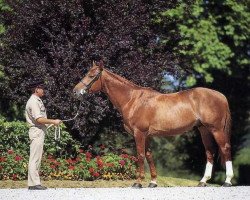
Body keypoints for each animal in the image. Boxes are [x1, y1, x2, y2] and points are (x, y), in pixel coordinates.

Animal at [73, 61, 234, 188]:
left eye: (92, 76)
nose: (75, 92)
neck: (132, 100)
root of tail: (221, 96)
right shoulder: (147, 135)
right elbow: (149, 155)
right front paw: (153, 182)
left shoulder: (139, 133)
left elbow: (140, 155)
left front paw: (138, 183)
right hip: (204, 130)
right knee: (210, 152)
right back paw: (203, 181)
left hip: (216, 129)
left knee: (225, 148)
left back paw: (227, 181)